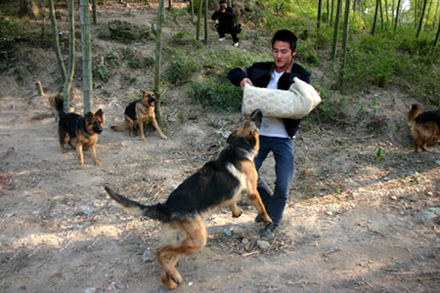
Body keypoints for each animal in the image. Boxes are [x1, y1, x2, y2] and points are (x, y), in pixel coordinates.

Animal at [105, 108, 274, 288]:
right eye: (254, 121)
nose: (258, 110)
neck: (238, 146)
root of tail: (166, 207)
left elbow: (232, 202)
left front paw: (236, 212)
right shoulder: (253, 191)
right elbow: (262, 207)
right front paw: (267, 219)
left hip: (185, 242)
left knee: (164, 265)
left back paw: (173, 279)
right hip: (197, 241)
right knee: (159, 253)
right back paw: (173, 275)